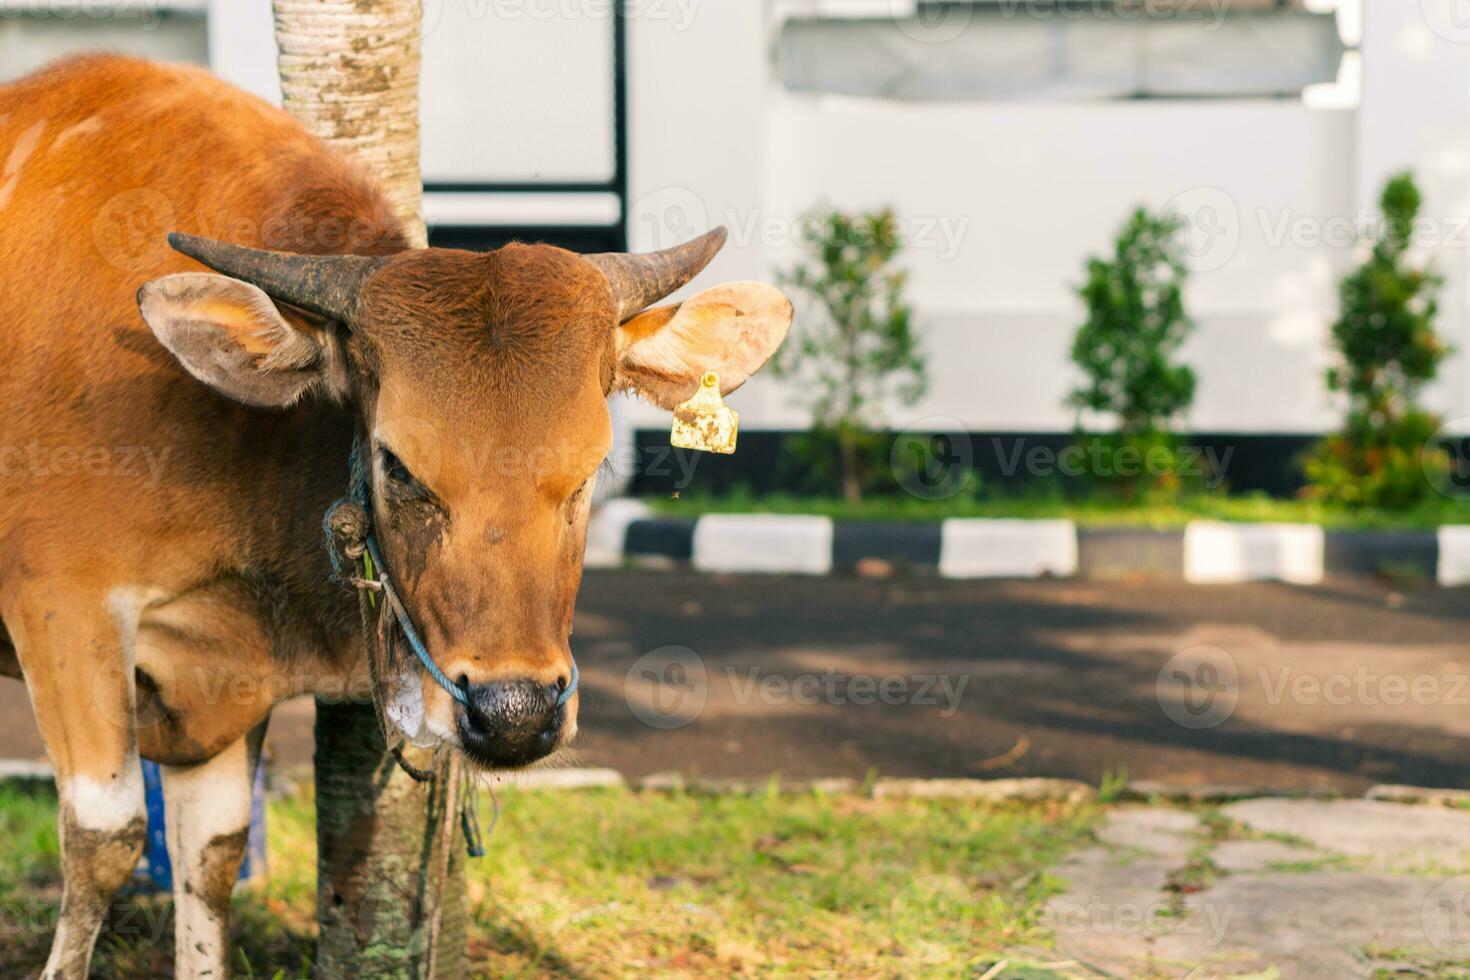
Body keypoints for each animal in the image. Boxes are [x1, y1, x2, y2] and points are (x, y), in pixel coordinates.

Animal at [0, 57, 793, 975]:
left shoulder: (224, 668)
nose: (516, 713)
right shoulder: (61, 608)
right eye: (397, 464)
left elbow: (211, 853)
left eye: (592, 469)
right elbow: (106, 838)